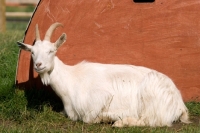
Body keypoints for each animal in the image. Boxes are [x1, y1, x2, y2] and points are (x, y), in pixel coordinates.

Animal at [17, 22, 191, 127]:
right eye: (32, 52)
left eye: (51, 51)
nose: (39, 65)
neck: (70, 79)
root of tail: (179, 103)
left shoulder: (100, 97)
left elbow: (88, 119)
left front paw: (106, 117)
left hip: (151, 96)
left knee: (153, 120)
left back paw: (120, 122)